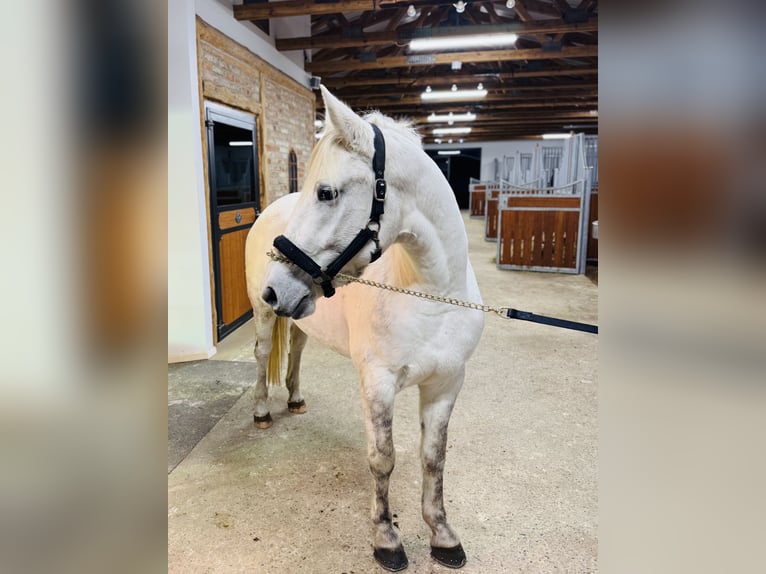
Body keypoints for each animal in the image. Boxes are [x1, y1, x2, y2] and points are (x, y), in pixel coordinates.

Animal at [246, 88, 486, 572]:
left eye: (326, 192)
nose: (275, 289)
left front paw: (442, 535)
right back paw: (263, 412)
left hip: (301, 316)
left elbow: (434, 459)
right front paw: (386, 540)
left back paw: (295, 399)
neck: (432, 295)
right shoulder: (378, 384)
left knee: (296, 350)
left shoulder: (447, 384)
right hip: (265, 318)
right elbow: (383, 460)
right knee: (263, 357)